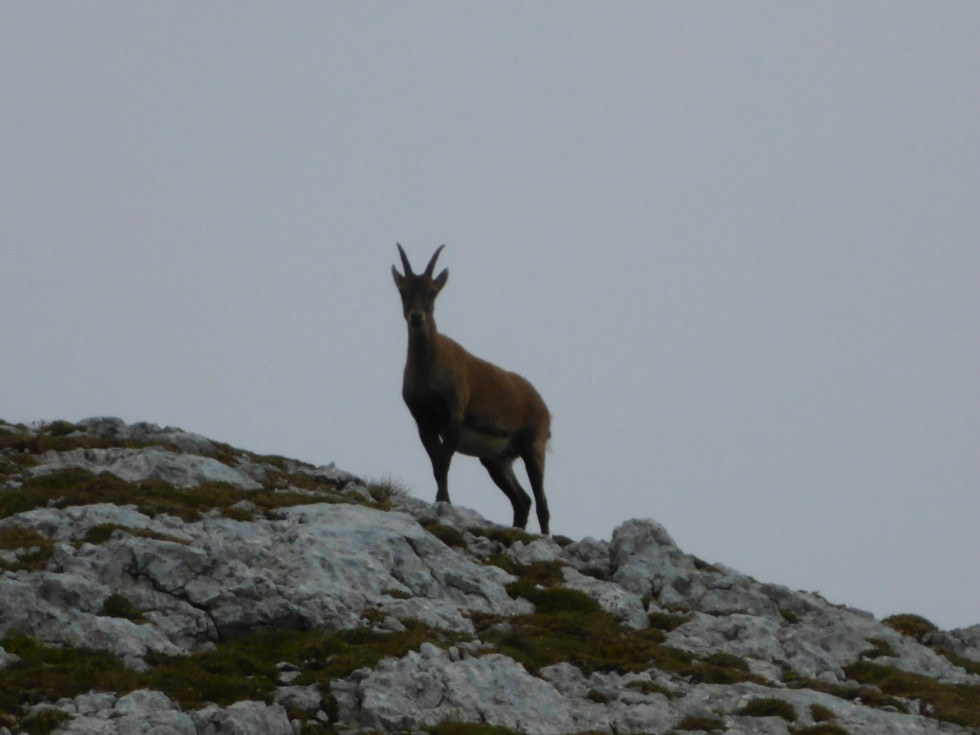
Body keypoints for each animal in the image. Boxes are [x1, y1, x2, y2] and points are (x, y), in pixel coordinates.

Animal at [392, 244, 552, 534]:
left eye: (433, 291)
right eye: (402, 290)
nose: (416, 317)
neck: (430, 368)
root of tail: (545, 407)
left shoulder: (454, 415)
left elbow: (444, 462)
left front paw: (443, 502)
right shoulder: (424, 422)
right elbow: (436, 464)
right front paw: (442, 500)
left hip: (533, 445)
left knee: (541, 502)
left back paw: (545, 537)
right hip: (496, 459)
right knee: (522, 501)